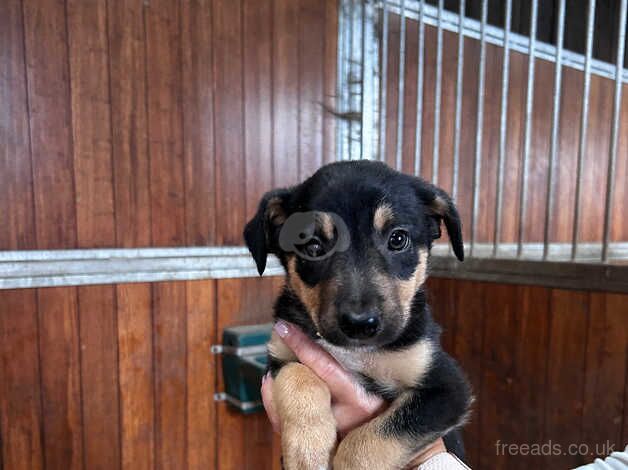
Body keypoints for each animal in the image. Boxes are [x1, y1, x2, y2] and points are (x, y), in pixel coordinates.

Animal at [244, 160, 472, 468]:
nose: (359, 324)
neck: (356, 351)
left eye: (398, 239)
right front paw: (307, 451)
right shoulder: (281, 354)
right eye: (313, 246)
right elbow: (297, 375)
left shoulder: (447, 388)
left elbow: (374, 438)